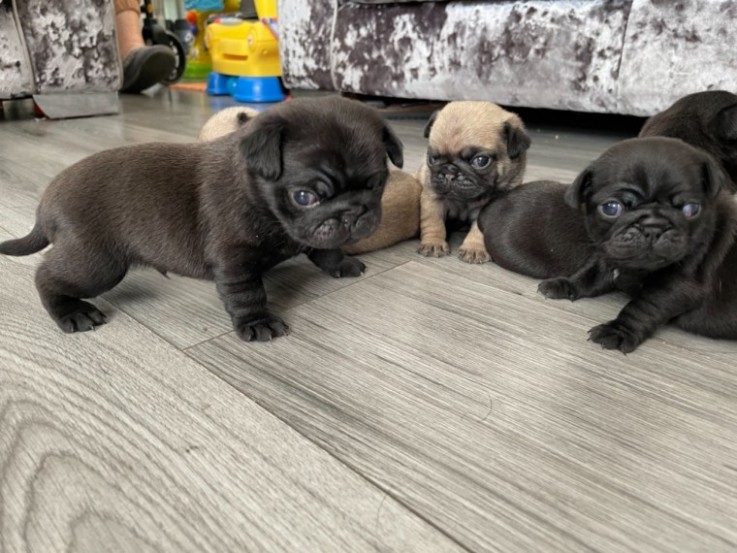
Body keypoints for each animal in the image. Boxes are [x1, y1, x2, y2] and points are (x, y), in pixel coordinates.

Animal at [0, 98, 402, 340]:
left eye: (377, 184)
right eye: (305, 197)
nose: (353, 213)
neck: (260, 198)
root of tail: (46, 205)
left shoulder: (311, 233)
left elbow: (326, 248)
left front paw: (342, 263)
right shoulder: (234, 260)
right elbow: (247, 294)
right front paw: (257, 323)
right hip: (98, 264)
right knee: (46, 277)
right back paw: (71, 313)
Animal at [414, 101, 528, 264]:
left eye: (481, 161)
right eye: (432, 159)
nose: (449, 172)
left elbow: (478, 231)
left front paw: (474, 249)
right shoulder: (433, 198)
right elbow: (433, 222)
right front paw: (433, 243)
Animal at [480, 138, 732, 354]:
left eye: (692, 209)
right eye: (611, 208)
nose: (653, 227)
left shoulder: (676, 286)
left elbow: (644, 306)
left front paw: (618, 331)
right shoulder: (607, 256)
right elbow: (589, 276)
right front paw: (565, 285)